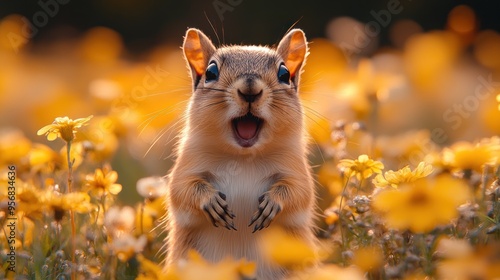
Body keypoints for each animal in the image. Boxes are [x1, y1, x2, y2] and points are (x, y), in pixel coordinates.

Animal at [166, 27, 318, 278]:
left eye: (284, 73)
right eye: (211, 71)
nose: (250, 90)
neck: (243, 157)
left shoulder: (295, 168)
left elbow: (299, 192)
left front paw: (273, 203)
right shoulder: (188, 164)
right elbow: (181, 190)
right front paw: (210, 201)